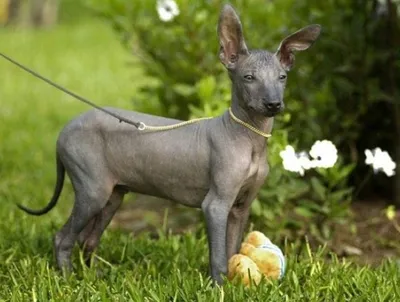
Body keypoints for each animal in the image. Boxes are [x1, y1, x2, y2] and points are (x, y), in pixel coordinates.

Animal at [17, 3, 320, 284]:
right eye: (249, 78)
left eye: (282, 78)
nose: (273, 104)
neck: (248, 136)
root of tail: (66, 128)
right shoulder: (215, 205)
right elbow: (218, 255)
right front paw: (219, 286)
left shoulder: (239, 208)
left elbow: (232, 249)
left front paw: (237, 282)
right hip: (93, 191)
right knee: (63, 238)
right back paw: (67, 278)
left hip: (112, 196)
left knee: (87, 240)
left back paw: (93, 277)